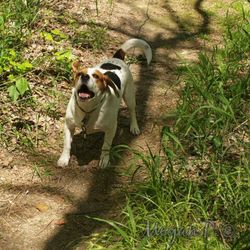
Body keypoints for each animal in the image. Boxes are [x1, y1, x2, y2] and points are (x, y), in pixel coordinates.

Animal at [57, 38, 152, 168]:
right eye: (79, 74)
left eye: (96, 76)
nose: (85, 76)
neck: (88, 109)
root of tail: (117, 58)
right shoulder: (69, 125)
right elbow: (67, 144)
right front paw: (64, 159)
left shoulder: (111, 129)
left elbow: (106, 147)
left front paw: (104, 160)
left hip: (129, 96)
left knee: (132, 111)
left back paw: (134, 127)